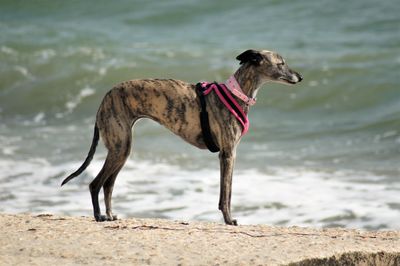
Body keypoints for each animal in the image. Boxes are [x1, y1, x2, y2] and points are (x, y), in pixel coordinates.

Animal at [61, 49, 302, 224]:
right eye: (281, 63)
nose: (300, 77)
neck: (237, 93)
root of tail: (103, 100)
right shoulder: (227, 154)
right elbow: (226, 194)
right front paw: (228, 220)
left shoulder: (229, 154)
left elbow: (228, 191)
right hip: (120, 146)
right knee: (96, 184)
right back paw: (98, 216)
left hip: (122, 148)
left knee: (108, 184)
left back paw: (110, 215)